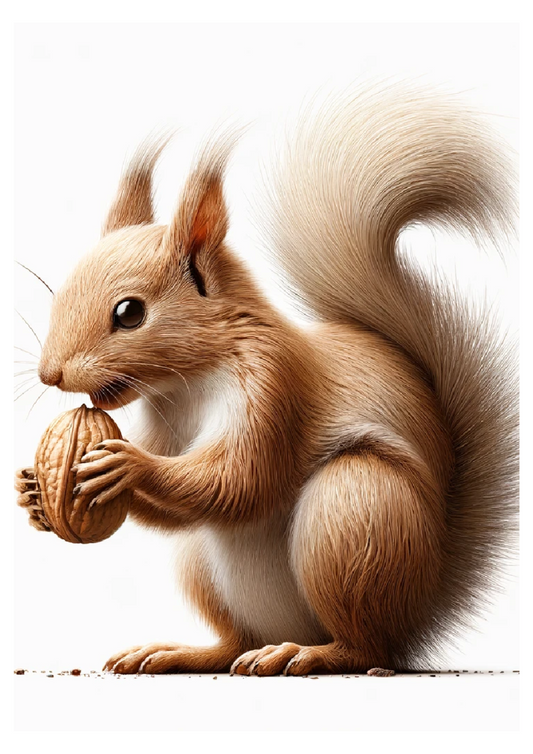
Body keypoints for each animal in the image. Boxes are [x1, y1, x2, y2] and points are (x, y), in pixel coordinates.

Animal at [16, 82, 517, 676]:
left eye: (129, 312)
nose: (50, 374)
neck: (190, 380)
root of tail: (417, 615)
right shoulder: (166, 419)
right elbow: (189, 500)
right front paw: (33, 491)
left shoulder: (275, 388)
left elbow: (239, 479)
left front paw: (130, 466)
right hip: (205, 567)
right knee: (234, 640)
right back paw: (181, 652)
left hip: (356, 512)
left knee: (365, 646)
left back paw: (307, 653)